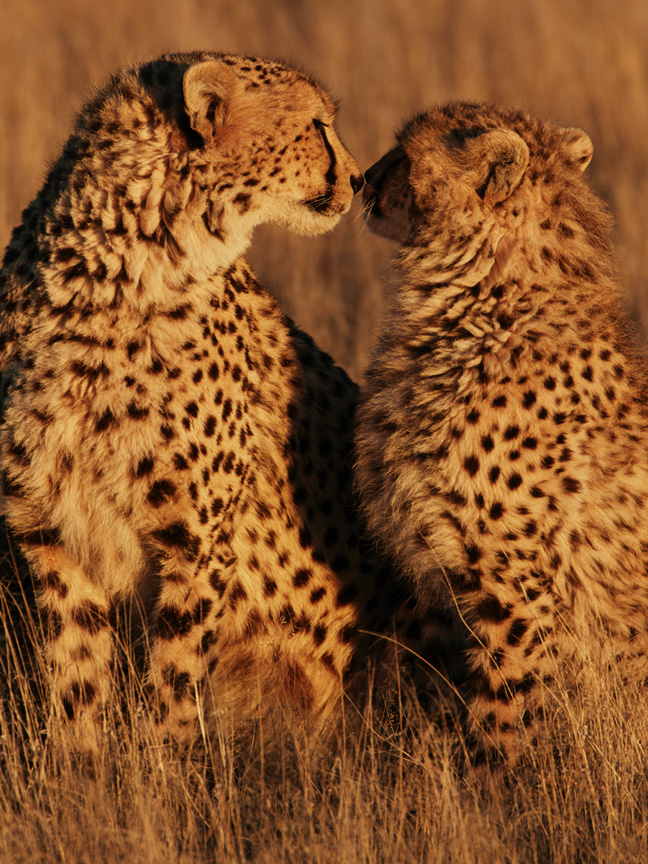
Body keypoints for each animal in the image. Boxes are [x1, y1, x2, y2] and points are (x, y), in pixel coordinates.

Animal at [0, 50, 426, 754]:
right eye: (315, 124)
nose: (359, 178)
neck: (122, 268)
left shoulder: (194, 542)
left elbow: (175, 677)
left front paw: (165, 770)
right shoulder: (51, 530)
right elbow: (76, 674)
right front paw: (78, 768)